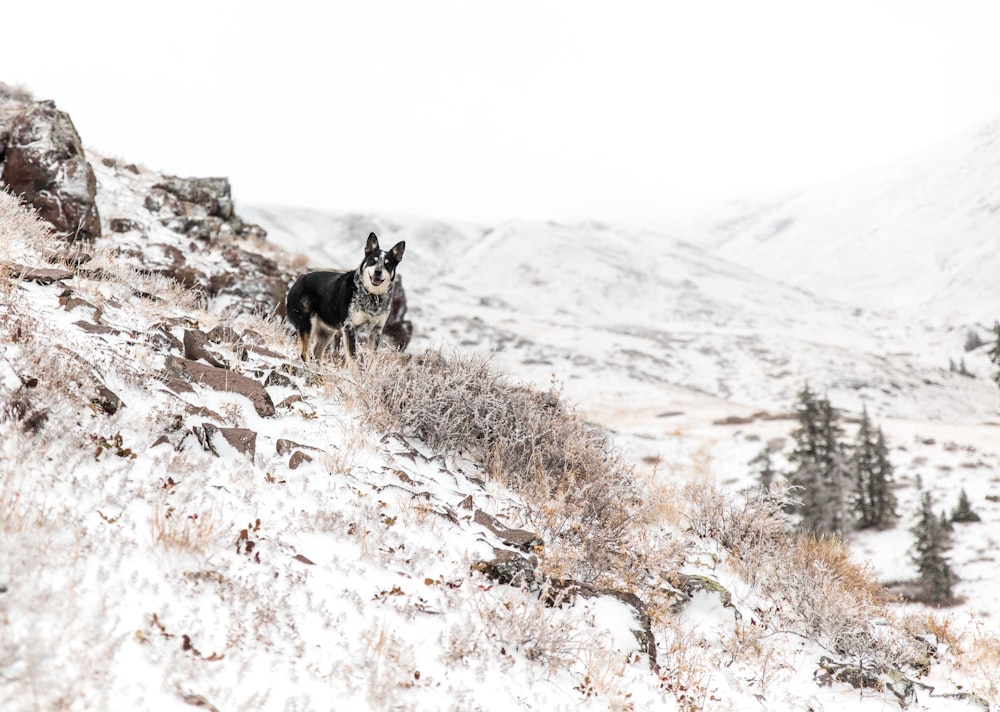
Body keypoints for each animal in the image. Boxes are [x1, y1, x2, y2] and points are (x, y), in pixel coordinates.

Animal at [284, 234, 404, 364]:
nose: (378, 271)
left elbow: (371, 362)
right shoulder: (349, 328)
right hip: (308, 323)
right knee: (304, 353)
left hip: (327, 332)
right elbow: (353, 359)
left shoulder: (376, 331)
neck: (372, 295)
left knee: (316, 354)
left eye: (387, 264)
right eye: (373, 261)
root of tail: (298, 280)